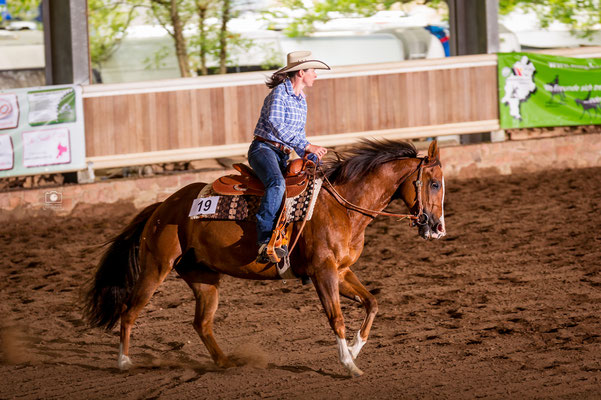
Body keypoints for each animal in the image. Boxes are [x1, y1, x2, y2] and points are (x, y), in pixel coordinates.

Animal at [86, 139, 448, 376]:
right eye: (433, 183)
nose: (437, 228)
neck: (342, 207)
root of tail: (162, 206)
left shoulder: (342, 271)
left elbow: (372, 303)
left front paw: (356, 348)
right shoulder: (324, 273)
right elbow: (337, 318)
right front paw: (348, 364)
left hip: (204, 277)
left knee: (202, 323)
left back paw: (225, 363)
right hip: (156, 267)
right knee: (129, 310)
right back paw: (124, 362)